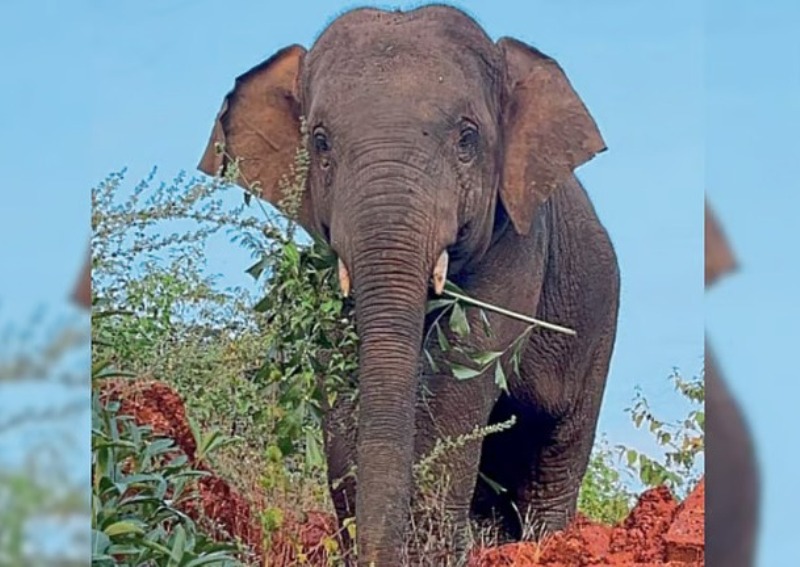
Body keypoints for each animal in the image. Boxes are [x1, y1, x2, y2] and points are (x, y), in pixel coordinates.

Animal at [198, 5, 620, 565]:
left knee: (554, 451)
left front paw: (436, 551)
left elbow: (464, 361)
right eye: (320, 142)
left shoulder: (519, 242)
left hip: (599, 328)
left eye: (467, 139)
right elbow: (342, 367)